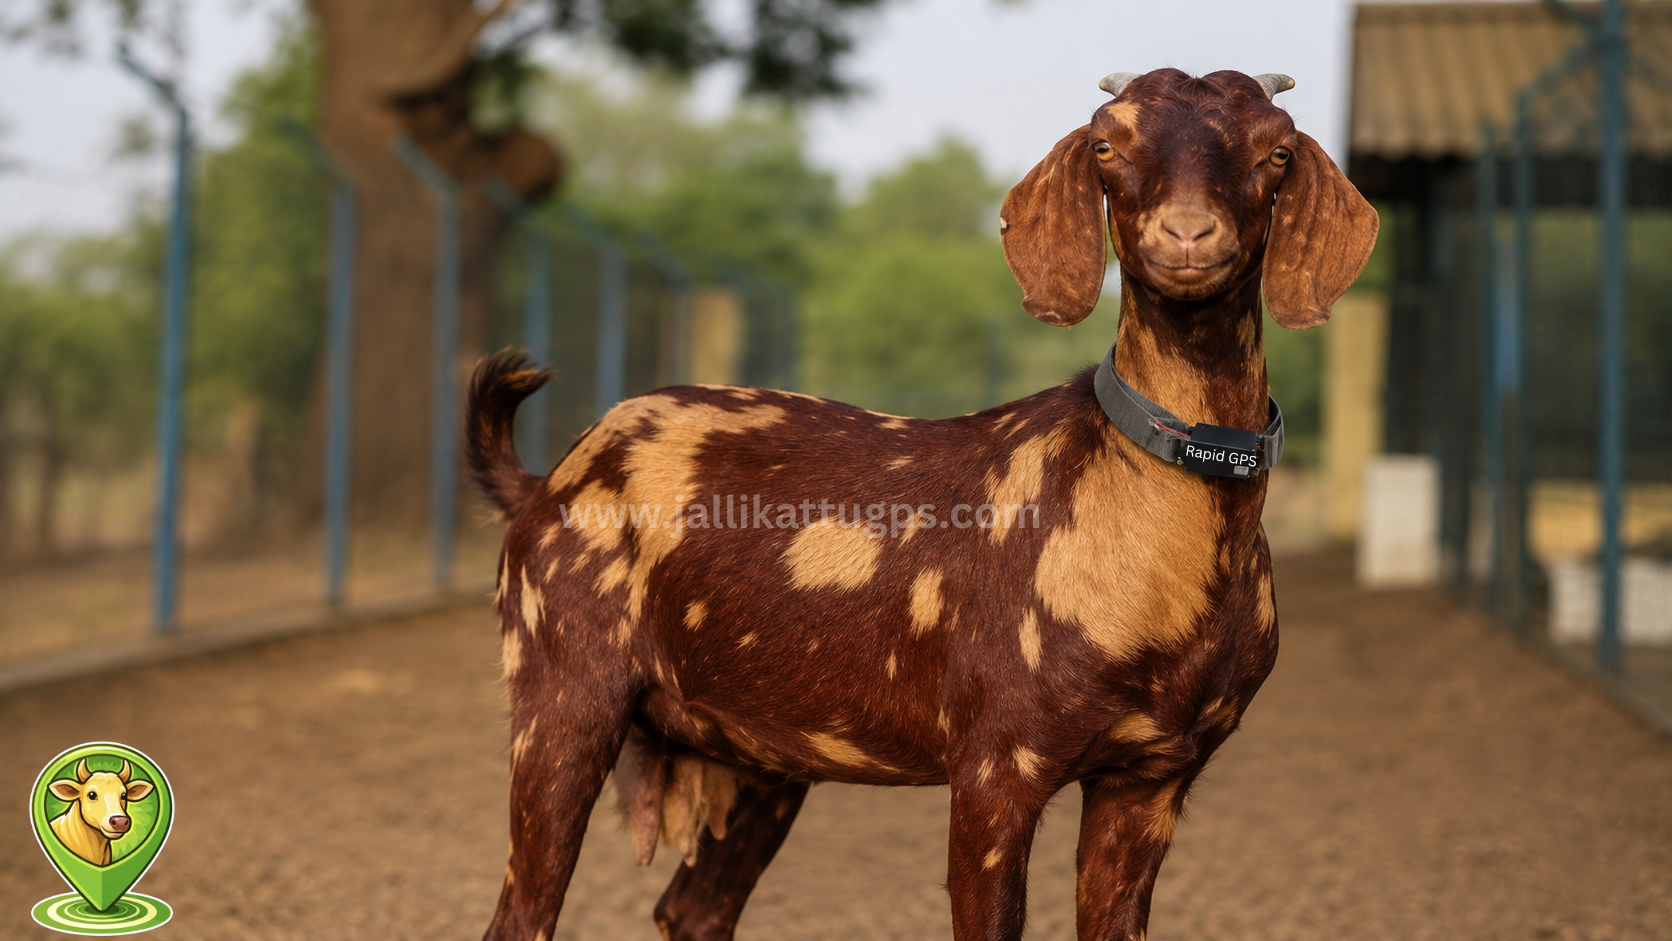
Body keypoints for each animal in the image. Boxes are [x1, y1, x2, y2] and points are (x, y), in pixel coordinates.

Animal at [467, 67, 1377, 941]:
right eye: (1107, 146)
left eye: (1276, 151)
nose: (1187, 236)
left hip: (765, 752)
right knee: (522, 916)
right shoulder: (995, 767)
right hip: (563, 698)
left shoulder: (1151, 777)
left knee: (693, 910)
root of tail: (545, 481)